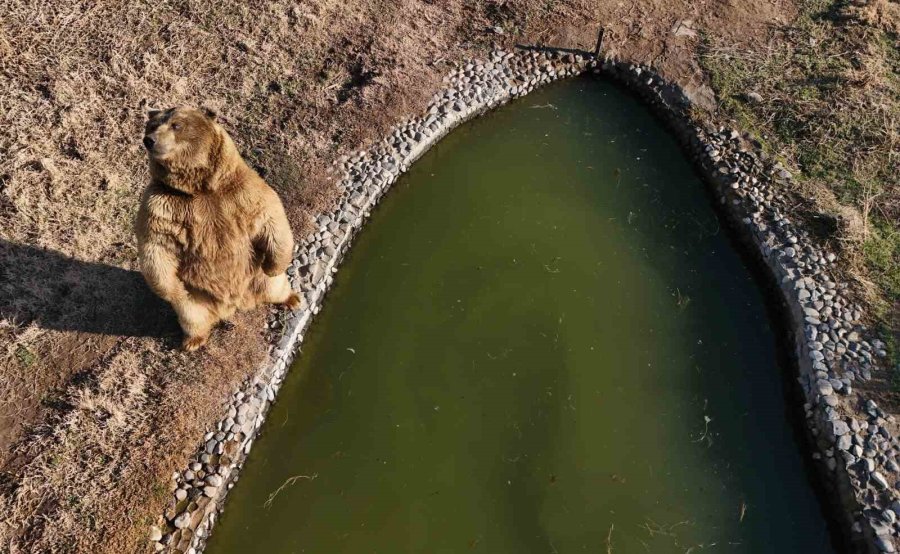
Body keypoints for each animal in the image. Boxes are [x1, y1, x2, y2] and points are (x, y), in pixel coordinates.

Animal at [135, 106, 300, 350]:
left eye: (176, 124)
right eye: (152, 125)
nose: (149, 140)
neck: (200, 188)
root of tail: (236, 304)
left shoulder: (242, 192)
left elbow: (271, 218)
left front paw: (274, 265)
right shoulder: (162, 205)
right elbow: (156, 247)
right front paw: (172, 289)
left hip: (257, 278)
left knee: (275, 286)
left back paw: (292, 298)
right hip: (196, 298)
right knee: (191, 315)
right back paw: (192, 341)